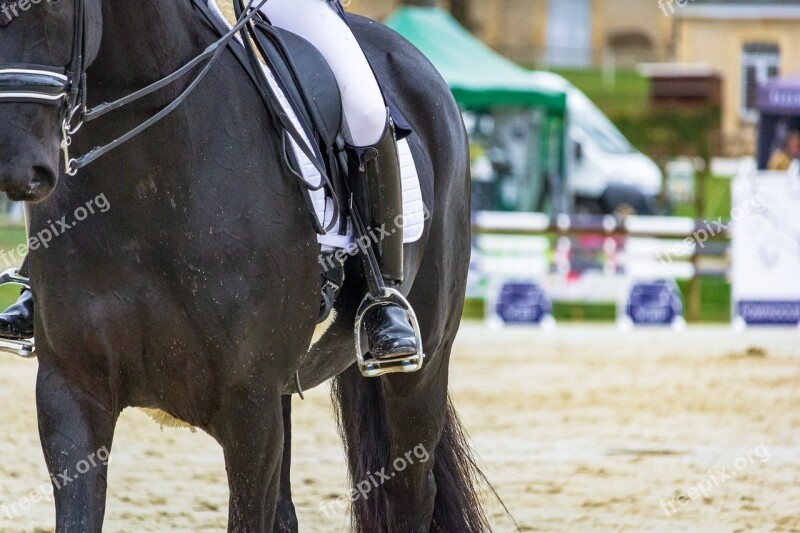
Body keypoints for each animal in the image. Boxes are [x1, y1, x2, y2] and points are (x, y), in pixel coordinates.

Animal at [0, 2, 488, 528]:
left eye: (54, 8)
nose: (13, 165)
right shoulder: (70, 393)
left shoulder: (249, 410)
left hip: (422, 368)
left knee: (409, 493)